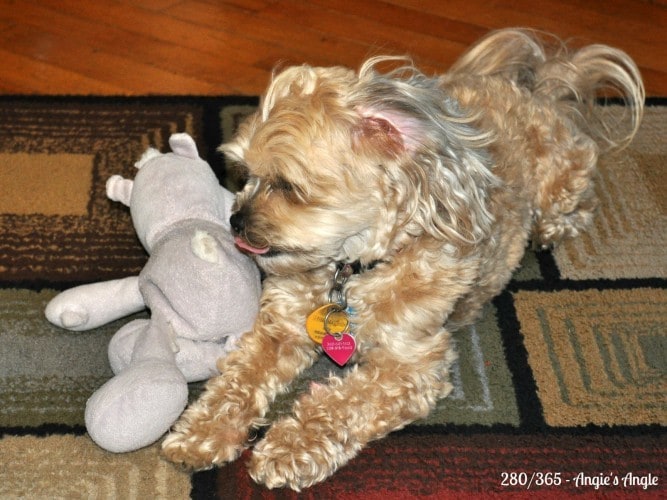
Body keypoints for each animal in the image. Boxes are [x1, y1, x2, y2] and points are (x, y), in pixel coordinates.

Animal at [160, 28, 640, 488]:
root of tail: (537, 90)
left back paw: (552, 229)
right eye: (245, 175)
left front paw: (290, 447)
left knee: (573, 204)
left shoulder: (412, 366)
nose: (235, 221)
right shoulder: (280, 325)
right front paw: (202, 432)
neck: (355, 268)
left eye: (287, 186)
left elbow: (342, 403)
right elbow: (240, 378)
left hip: (561, 181)